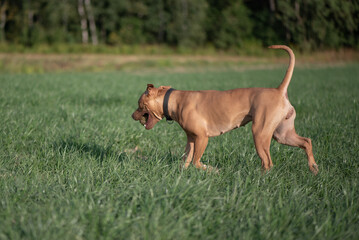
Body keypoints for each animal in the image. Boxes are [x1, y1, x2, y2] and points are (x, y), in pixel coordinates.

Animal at [134, 45, 320, 174]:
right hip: (282, 134)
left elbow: (196, 162)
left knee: (267, 162)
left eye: (139, 104)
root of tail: (280, 90)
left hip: (260, 133)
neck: (173, 100)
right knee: (306, 142)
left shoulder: (202, 138)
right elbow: (186, 161)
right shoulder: (191, 139)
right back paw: (313, 167)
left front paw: (213, 170)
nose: (131, 115)